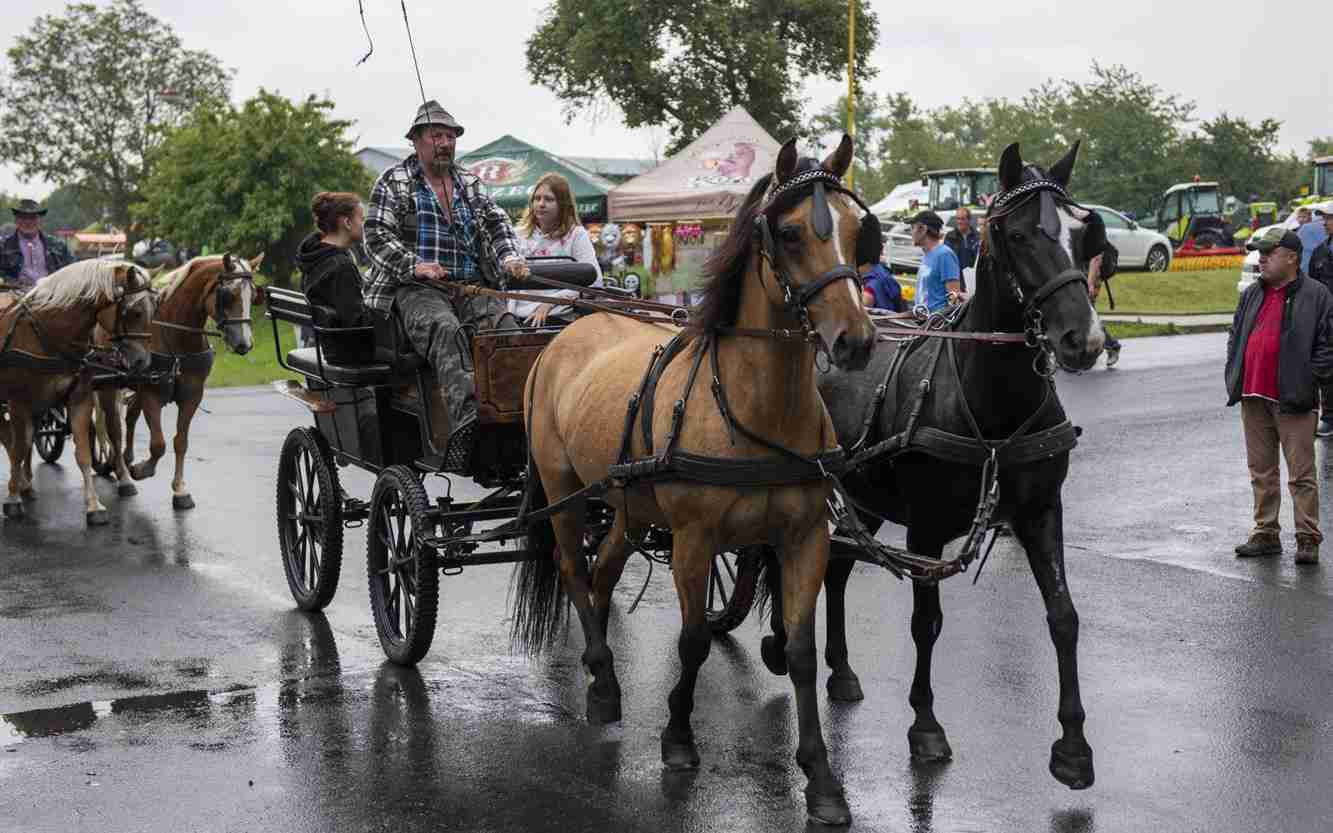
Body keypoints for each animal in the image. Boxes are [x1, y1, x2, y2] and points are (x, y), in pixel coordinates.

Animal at [0, 259, 154, 522]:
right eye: (134, 312)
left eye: (154, 309)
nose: (143, 362)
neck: (49, 334)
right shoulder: (19, 402)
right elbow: (17, 449)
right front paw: (12, 499)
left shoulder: (79, 398)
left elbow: (82, 453)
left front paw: (94, 506)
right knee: (13, 441)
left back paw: (27, 484)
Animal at [98, 250, 265, 506]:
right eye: (228, 295)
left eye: (253, 295)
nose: (244, 344)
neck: (177, 339)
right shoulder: (152, 395)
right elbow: (158, 444)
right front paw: (143, 470)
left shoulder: (191, 396)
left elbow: (180, 442)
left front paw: (179, 489)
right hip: (108, 385)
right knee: (112, 429)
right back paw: (123, 474)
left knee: (130, 416)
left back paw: (125, 459)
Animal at [514, 136, 879, 826]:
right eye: (790, 233)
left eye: (857, 230)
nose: (856, 341)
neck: (757, 408)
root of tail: (570, 328)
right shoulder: (693, 539)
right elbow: (690, 643)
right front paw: (678, 737)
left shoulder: (804, 539)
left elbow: (800, 652)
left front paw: (821, 779)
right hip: (562, 489)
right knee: (575, 569)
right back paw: (601, 682)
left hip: (626, 505)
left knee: (604, 571)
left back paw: (603, 669)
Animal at [757, 142, 1109, 794]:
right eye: (1018, 235)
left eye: (1085, 234)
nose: (1085, 340)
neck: (992, 403)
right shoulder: (924, 528)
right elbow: (927, 623)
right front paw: (925, 726)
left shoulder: (1041, 512)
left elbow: (1064, 616)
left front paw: (1074, 746)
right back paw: (779, 643)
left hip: (859, 497)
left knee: (837, 569)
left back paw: (840, 669)